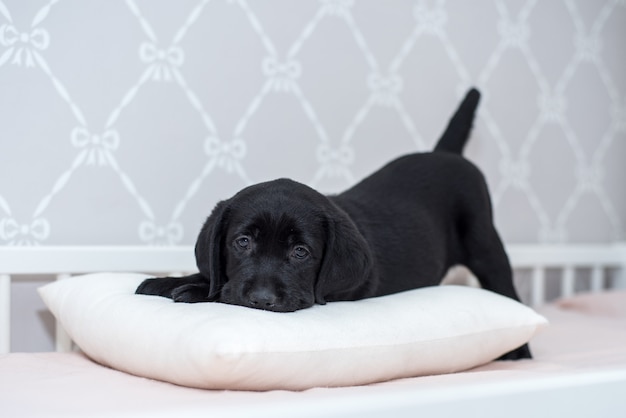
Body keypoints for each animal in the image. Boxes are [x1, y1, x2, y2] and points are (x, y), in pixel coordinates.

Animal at [135, 88, 528, 360]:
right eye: (242, 242)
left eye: (300, 252)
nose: (262, 300)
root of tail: (445, 154)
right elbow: (216, 275)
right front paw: (167, 281)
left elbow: (221, 290)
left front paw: (194, 291)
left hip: (485, 243)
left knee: (508, 291)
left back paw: (519, 352)